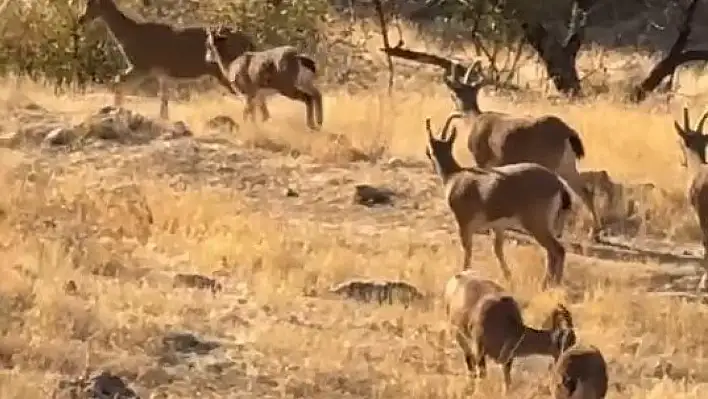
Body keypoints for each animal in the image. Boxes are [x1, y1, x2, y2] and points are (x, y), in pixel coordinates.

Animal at [78, 0, 254, 119]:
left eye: (92, 2)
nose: (81, 19)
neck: (129, 35)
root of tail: (248, 40)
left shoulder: (142, 67)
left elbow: (118, 81)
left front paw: (115, 110)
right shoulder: (160, 73)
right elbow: (163, 97)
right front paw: (163, 117)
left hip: (227, 72)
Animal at [424, 113, 572, 288]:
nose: (428, 153)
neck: (455, 176)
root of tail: (558, 184)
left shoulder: (464, 223)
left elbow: (467, 250)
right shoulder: (498, 227)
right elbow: (498, 250)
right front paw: (508, 277)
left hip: (536, 224)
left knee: (557, 250)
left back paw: (548, 285)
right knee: (552, 252)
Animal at [446, 65, 600, 241]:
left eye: (454, 95)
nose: (455, 109)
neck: (474, 121)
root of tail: (568, 132)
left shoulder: (482, 159)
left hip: (551, 163)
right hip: (567, 165)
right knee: (584, 191)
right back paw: (593, 233)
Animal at [446, 272, 580, 394]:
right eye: (568, 343)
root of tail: (455, 278)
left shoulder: (508, 359)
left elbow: (507, 381)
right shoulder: (479, 350)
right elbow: (483, 373)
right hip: (459, 336)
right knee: (469, 361)